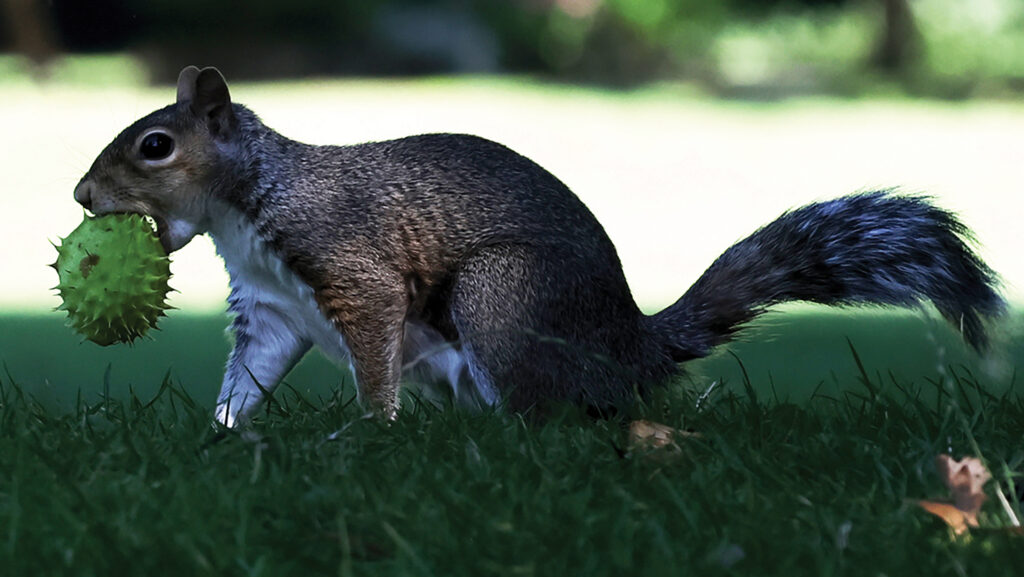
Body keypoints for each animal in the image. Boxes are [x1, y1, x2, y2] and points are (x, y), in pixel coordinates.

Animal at [75, 67, 1003, 428]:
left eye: (154, 145)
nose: (82, 197)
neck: (246, 208)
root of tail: (628, 343)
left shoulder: (349, 264)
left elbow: (373, 351)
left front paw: (370, 432)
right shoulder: (270, 307)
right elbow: (249, 375)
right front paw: (222, 435)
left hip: (503, 295)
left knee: (551, 413)